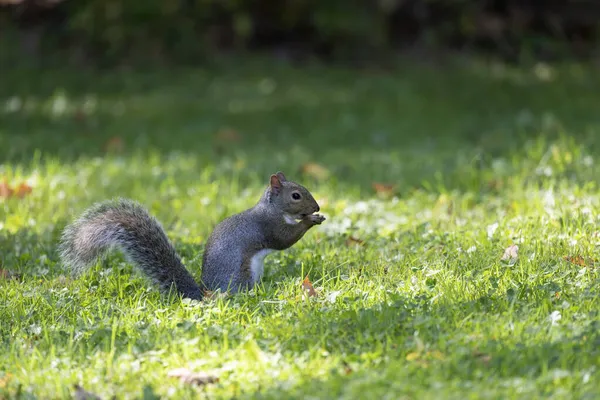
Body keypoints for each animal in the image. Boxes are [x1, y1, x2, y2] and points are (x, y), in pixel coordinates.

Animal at [58, 172, 326, 300]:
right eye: (295, 196)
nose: (317, 207)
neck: (272, 208)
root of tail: (204, 294)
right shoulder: (269, 226)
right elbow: (284, 239)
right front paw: (309, 221)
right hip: (241, 276)